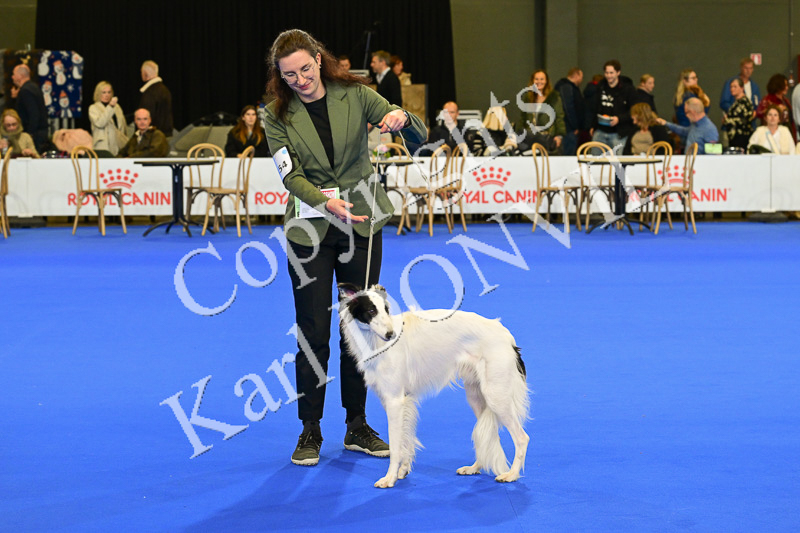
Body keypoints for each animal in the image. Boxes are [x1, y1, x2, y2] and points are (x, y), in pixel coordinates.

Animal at [337, 282, 530, 488]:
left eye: (387, 310)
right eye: (371, 311)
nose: (391, 335)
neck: (376, 343)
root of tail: (507, 336)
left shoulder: (394, 401)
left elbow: (396, 446)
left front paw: (389, 478)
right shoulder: (401, 401)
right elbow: (405, 440)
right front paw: (402, 471)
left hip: (496, 396)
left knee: (521, 438)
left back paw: (511, 475)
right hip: (476, 396)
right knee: (490, 435)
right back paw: (474, 468)